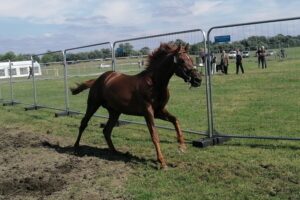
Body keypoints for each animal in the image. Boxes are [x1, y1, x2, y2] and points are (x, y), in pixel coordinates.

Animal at [70, 43, 202, 168]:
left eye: (191, 59)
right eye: (182, 60)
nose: (198, 80)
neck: (154, 84)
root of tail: (98, 80)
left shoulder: (159, 111)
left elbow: (175, 120)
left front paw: (182, 146)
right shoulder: (148, 112)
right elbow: (154, 135)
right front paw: (162, 162)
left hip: (115, 112)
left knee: (107, 130)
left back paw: (115, 151)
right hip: (93, 105)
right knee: (84, 123)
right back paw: (76, 147)